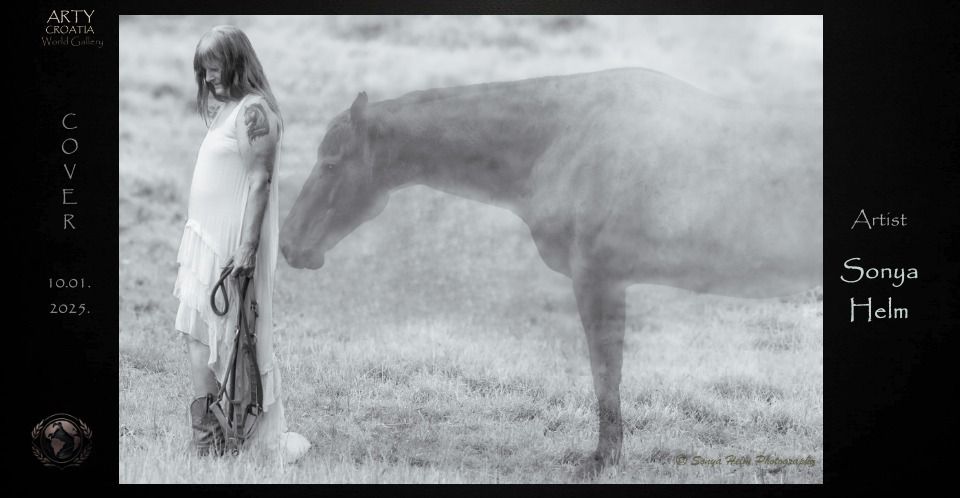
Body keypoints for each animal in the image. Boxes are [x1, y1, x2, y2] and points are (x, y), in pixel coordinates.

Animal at [280, 68, 823, 477]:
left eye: (331, 165)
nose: (288, 244)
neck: (563, 135)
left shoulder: (599, 282)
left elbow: (606, 374)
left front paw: (603, 460)